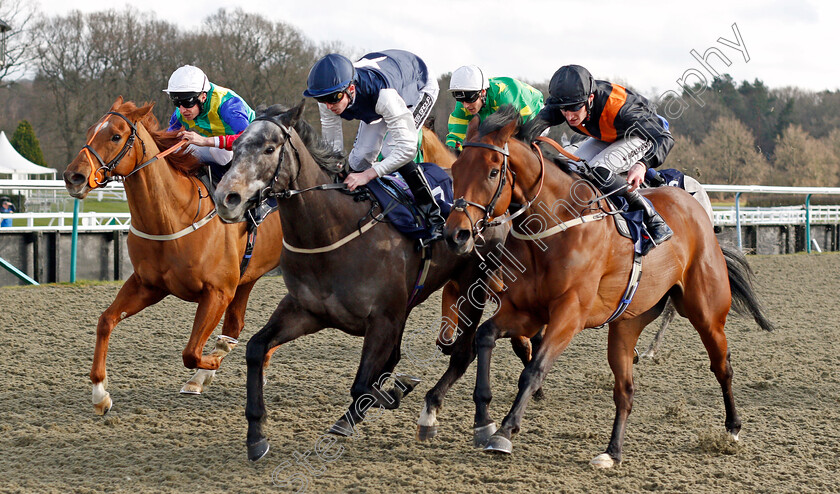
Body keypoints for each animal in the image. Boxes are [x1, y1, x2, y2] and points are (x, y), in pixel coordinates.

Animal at [62, 98, 286, 414]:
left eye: (116, 136)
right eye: (91, 131)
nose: (74, 177)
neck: (173, 216)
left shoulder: (217, 292)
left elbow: (191, 352)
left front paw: (210, 363)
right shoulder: (148, 285)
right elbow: (105, 321)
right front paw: (100, 394)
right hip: (247, 276)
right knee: (236, 324)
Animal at [213, 101, 508, 464]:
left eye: (269, 148)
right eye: (236, 147)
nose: (226, 198)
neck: (331, 231)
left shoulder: (382, 319)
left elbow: (363, 384)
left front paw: (394, 392)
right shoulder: (305, 311)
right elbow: (256, 348)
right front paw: (256, 434)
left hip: (473, 282)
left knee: (464, 352)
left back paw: (474, 422)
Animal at [446, 106, 776, 468]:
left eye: (493, 172)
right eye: (455, 169)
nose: (456, 234)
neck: (553, 225)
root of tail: (694, 206)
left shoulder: (569, 315)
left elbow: (534, 370)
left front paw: (505, 431)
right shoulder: (525, 311)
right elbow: (485, 336)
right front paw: (482, 420)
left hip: (706, 313)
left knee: (722, 366)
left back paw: (732, 428)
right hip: (626, 324)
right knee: (626, 390)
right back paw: (612, 452)